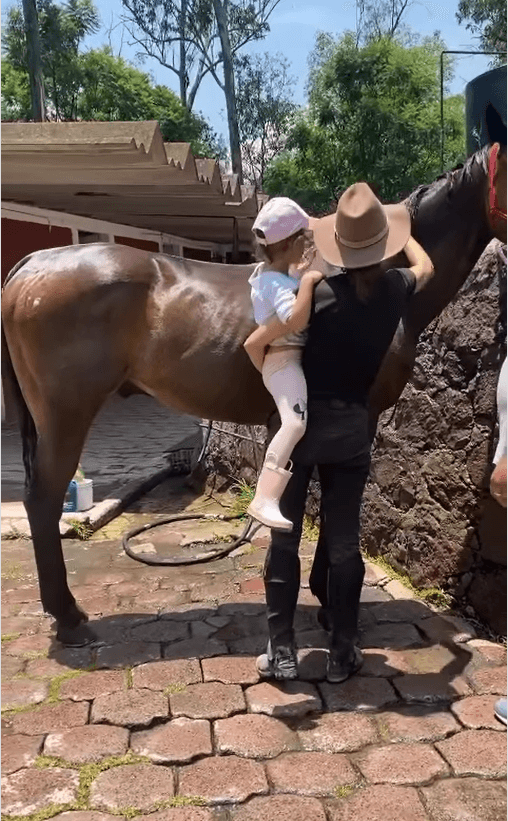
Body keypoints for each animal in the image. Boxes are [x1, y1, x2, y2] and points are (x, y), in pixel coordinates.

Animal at [2, 104, 506, 647]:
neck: (374, 280)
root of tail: (34, 263)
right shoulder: (358, 418)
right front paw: (330, 602)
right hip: (65, 415)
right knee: (43, 501)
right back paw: (69, 617)